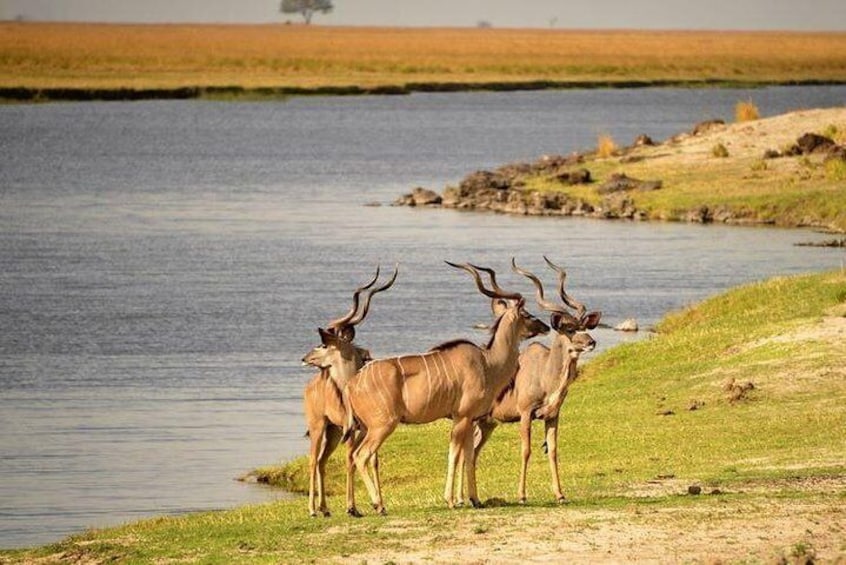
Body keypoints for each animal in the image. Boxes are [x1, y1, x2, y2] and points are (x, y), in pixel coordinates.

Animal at [304, 266, 400, 516]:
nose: (305, 358)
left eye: (324, 344)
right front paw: (353, 507)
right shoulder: (356, 431)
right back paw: (312, 510)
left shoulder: (365, 429)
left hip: (333, 431)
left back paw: (324, 509)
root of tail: (310, 386)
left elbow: (371, 460)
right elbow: (351, 459)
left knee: (321, 461)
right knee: (313, 460)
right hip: (318, 426)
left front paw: (377, 504)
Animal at [344, 262, 548, 512]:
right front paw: (450, 500)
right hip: (382, 425)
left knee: (353, 455)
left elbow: (469, 456)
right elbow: (454, 454)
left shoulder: (470, 419)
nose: (546, 326)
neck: (488, 363)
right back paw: (378, 505)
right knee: (361, 455)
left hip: (364, 427)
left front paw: (475, 499)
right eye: (527, 315)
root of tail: (351, 384)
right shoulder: (461, 417)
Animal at [470, 256, 604, 502]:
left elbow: (553, 451)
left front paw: (560, 494)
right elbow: (526, 450)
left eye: (584, 326)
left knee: (472, 452)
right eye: (569, 328)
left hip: (487, 424)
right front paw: (522, 495)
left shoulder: (552, 416)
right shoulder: (525, 414)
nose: (591, 342)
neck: (544, 374)